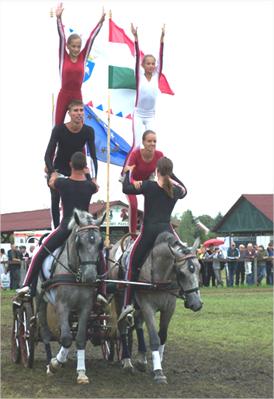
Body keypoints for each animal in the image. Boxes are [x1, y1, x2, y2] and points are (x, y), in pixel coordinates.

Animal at [36, 209, 105, 384]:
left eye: (100, 244)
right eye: (79, 243)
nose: (90, 277)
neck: (75, 273)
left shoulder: (85, 307)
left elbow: (79, 338)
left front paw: (81, 372)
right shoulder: (62, 306)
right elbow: (66, 338)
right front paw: (54, 364)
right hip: (40, 299)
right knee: (45, 333)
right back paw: (49, 361)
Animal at [108, 233, 202, 386]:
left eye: (199, 268)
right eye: (181, 273)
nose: (197, 303)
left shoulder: (169, 308)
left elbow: (162, 336)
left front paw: (157, 363)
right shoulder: (147, 306)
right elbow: (154, 338)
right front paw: (158, 372)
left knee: (138, 323)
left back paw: (141, 359)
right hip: (119, 297)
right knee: (122, 326)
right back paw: (127, 362)